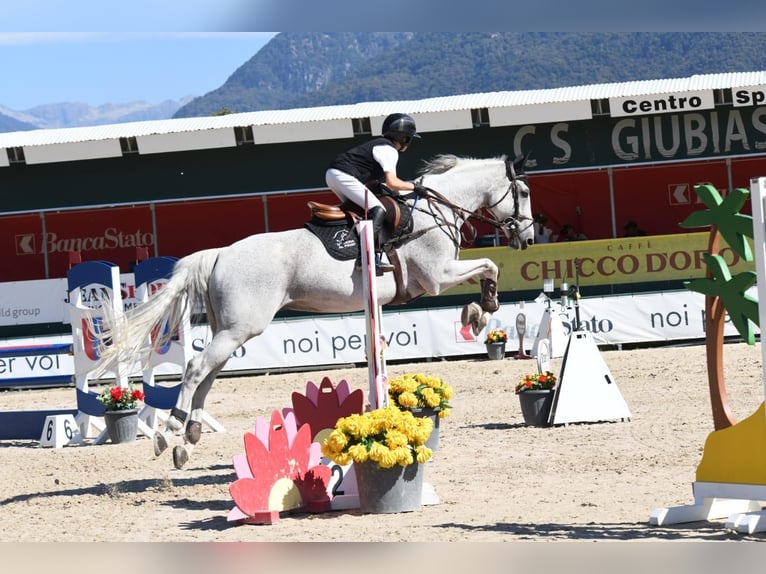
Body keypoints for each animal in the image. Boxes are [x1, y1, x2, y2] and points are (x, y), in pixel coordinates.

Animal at [93, 153, 535, 468]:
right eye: (526, 192)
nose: (528, 239)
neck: (435, 210)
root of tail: (220, 253)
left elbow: (488, 268)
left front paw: (480, 310)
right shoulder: (437, 278)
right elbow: (489, 266)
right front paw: (482, 309)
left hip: (231, 329)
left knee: (207, 374)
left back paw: (191, 435)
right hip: (240, 329)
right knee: (195, 369)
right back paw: (171, 431)